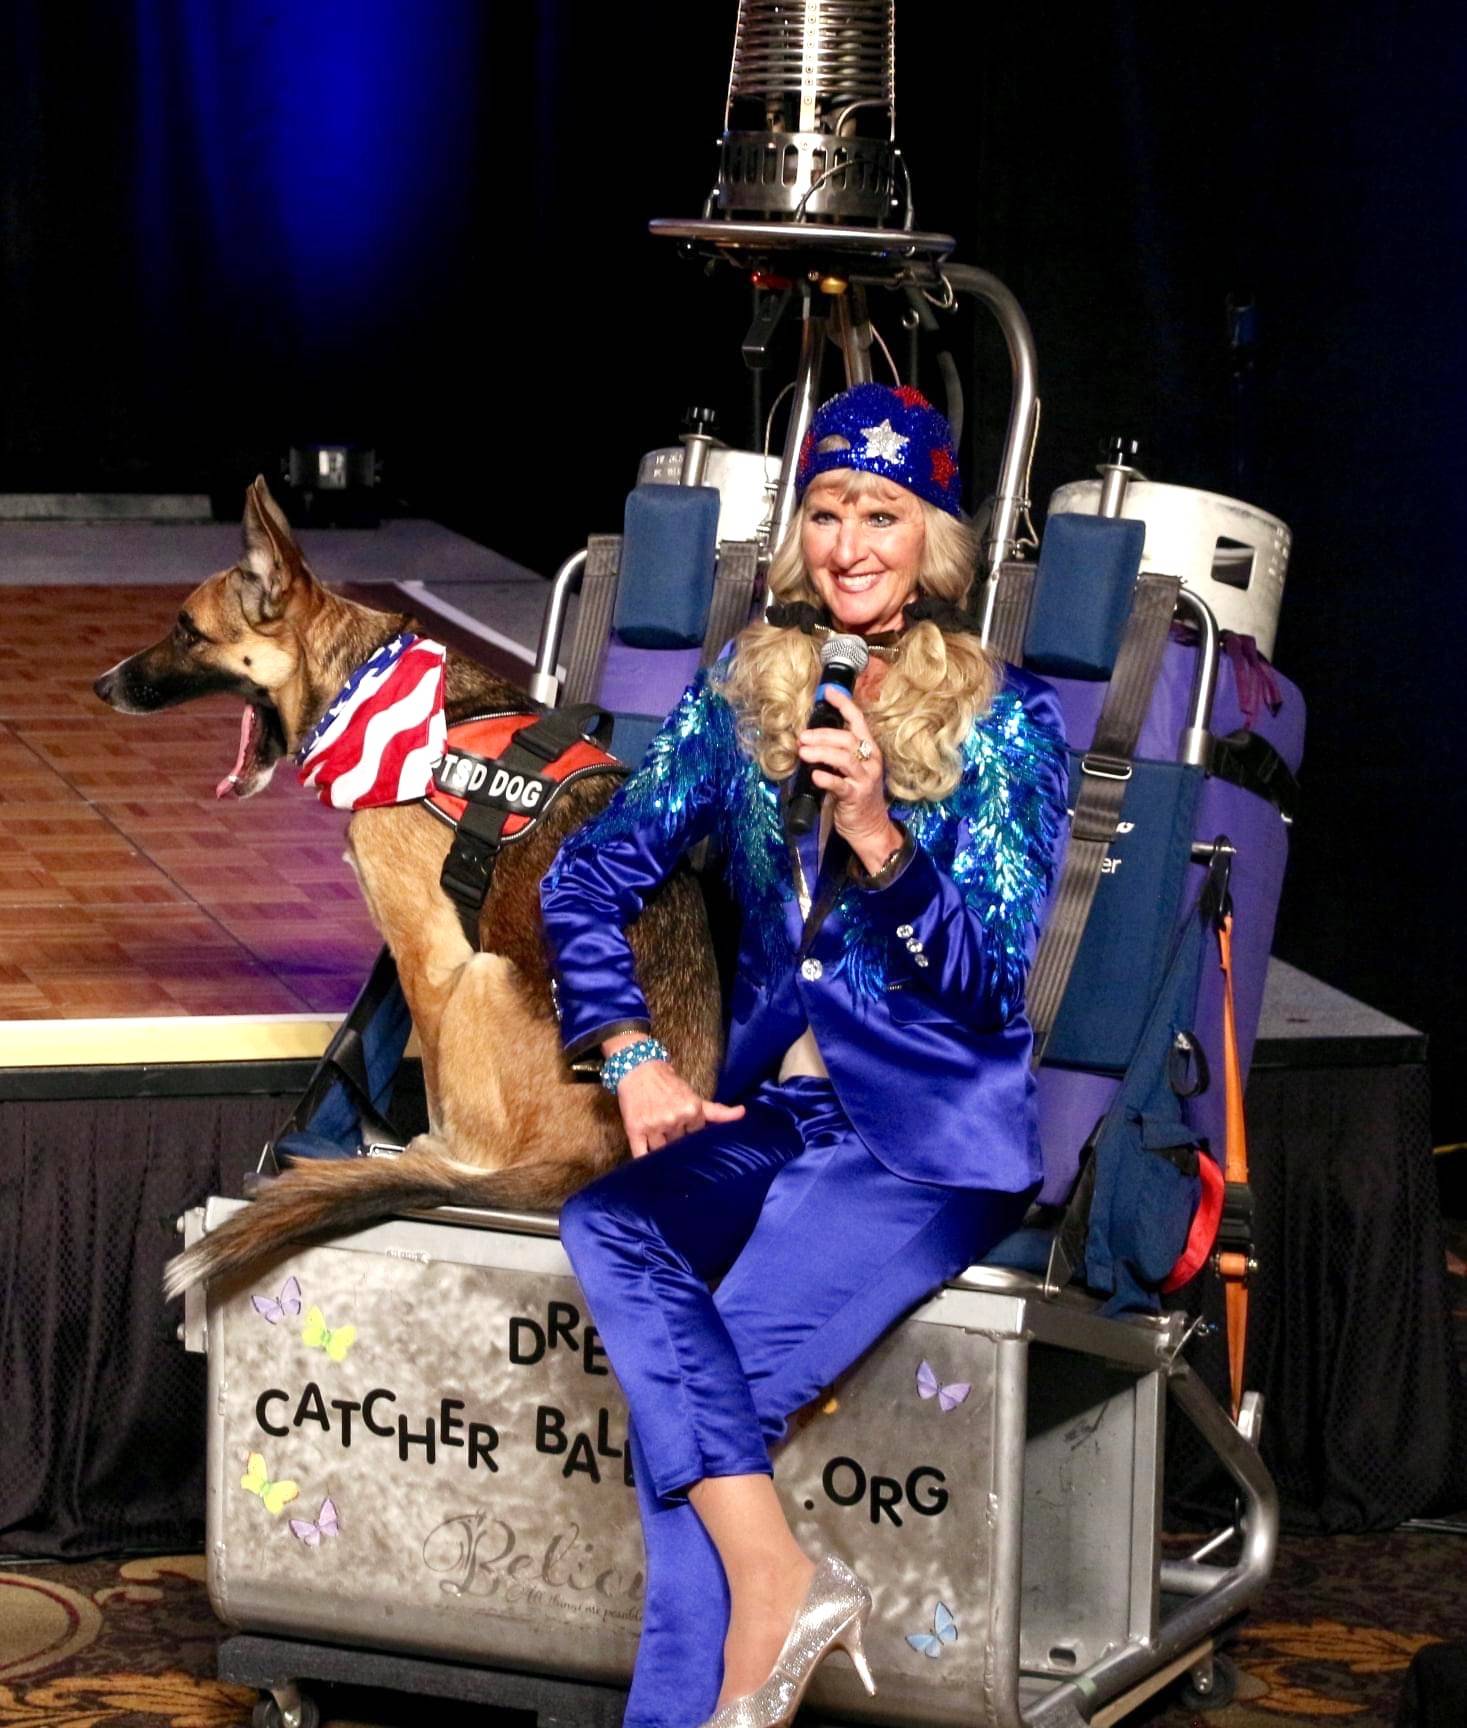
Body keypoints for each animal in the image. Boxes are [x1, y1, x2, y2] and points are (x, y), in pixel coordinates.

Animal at [94, 476, 725, 1299]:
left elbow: (437, 1090)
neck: (364, 686)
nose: (100, 686)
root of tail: (596, 1168)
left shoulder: (430, 957)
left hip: (485, 977)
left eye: (187, 631)